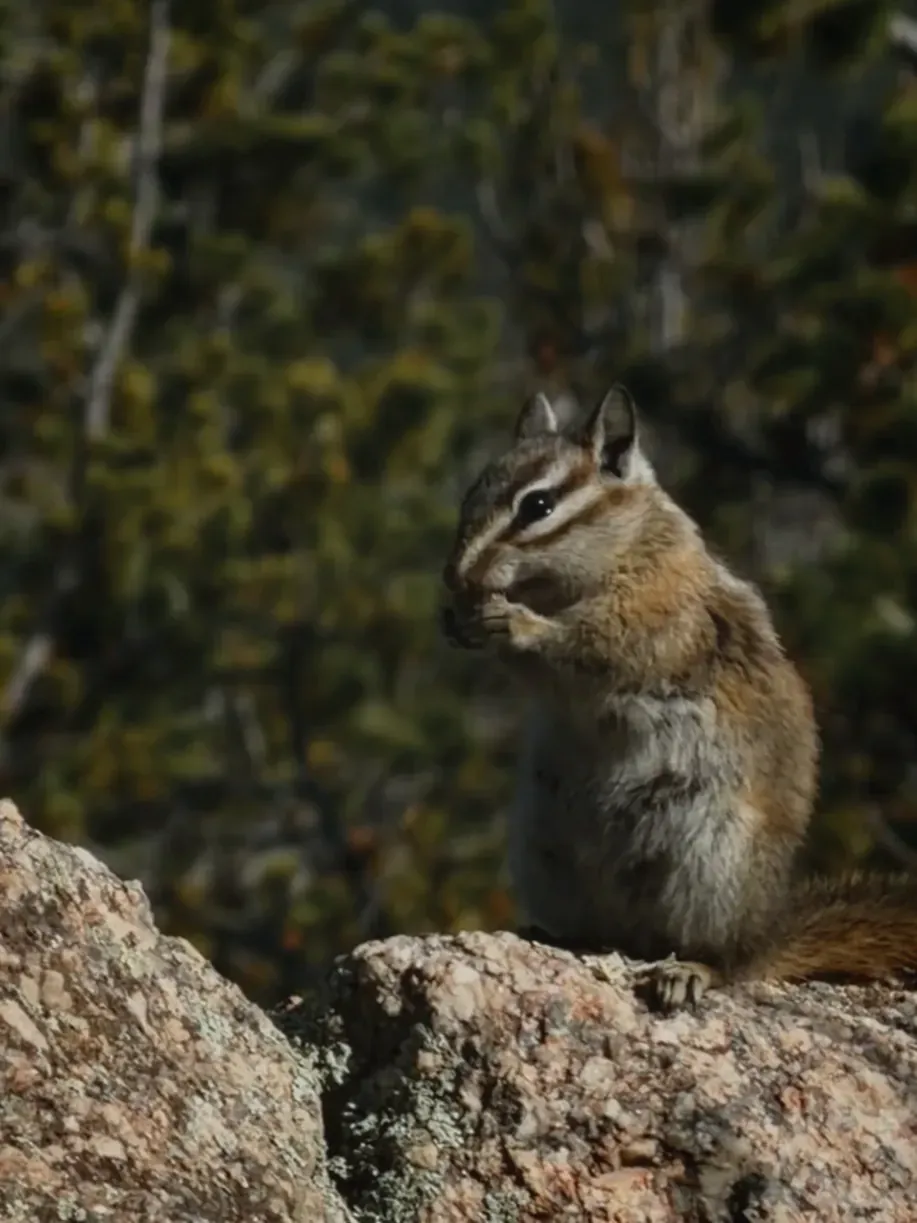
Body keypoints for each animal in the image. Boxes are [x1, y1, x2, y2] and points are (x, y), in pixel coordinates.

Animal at [440, 384, 917, 1011]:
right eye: (472, 491)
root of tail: (765, 936)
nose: (455, 576)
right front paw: (457, 619)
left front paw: (514, 623)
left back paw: (689, 971)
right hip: (543, 851)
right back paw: (553, 934)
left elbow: (593, 646)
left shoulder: (657, 612)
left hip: (709, 861)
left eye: (537, 507)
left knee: (724, 962)